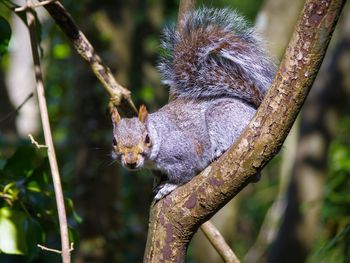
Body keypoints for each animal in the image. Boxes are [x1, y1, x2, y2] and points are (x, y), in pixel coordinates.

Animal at [112, 8, 276, 201]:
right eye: (114, 142)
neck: (159, 137)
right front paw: (157, 181)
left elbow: (184, 174)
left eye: (147, 139)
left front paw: (168, 186)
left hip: (223, 116)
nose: (131, 162)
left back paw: (220, 150)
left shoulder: (184, 154)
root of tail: (254, 111)